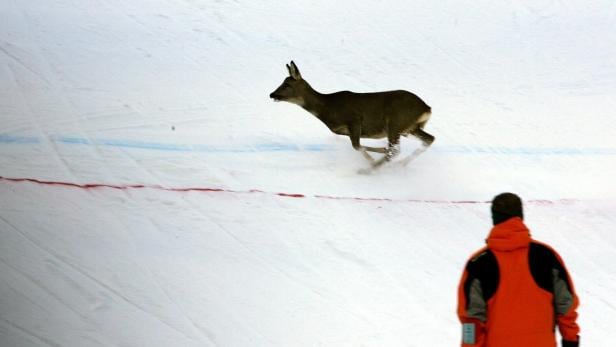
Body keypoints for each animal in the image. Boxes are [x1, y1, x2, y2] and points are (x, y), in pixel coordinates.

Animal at [270, 61, 434, 173]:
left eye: (287, 85)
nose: (272, 94)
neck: (327, 109)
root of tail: (427, 108)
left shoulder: (354, 120)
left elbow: (357, 146)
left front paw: (373, 159)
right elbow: (357, 146)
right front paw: (376, 156)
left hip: (395, 123)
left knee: (396, 149)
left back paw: (368, 170)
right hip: (409, 128)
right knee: (429, 139)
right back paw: (400, 164)